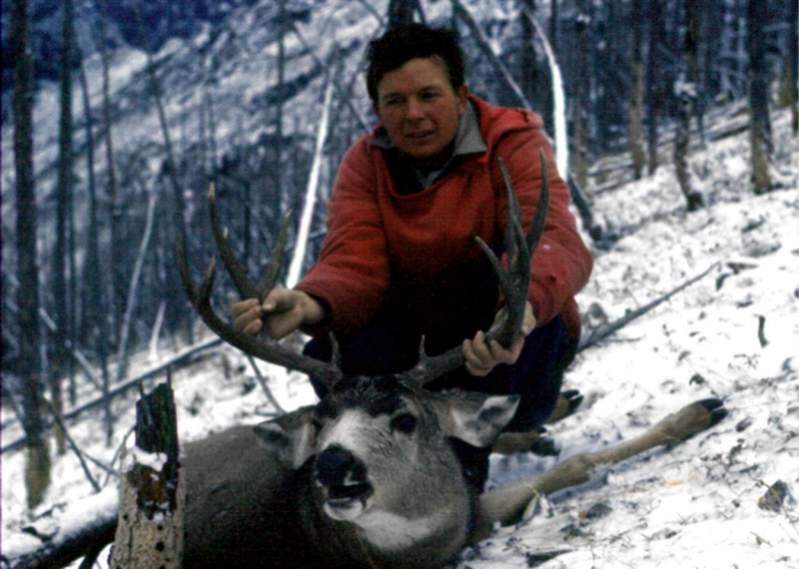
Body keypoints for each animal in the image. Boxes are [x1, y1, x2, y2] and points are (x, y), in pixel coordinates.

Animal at [164, 152, 732, 568]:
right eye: (321, 422)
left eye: (404, 419)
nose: (333, 464)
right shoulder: (466, 524)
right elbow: (575, 466)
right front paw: (699, 411)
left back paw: (556, 408)